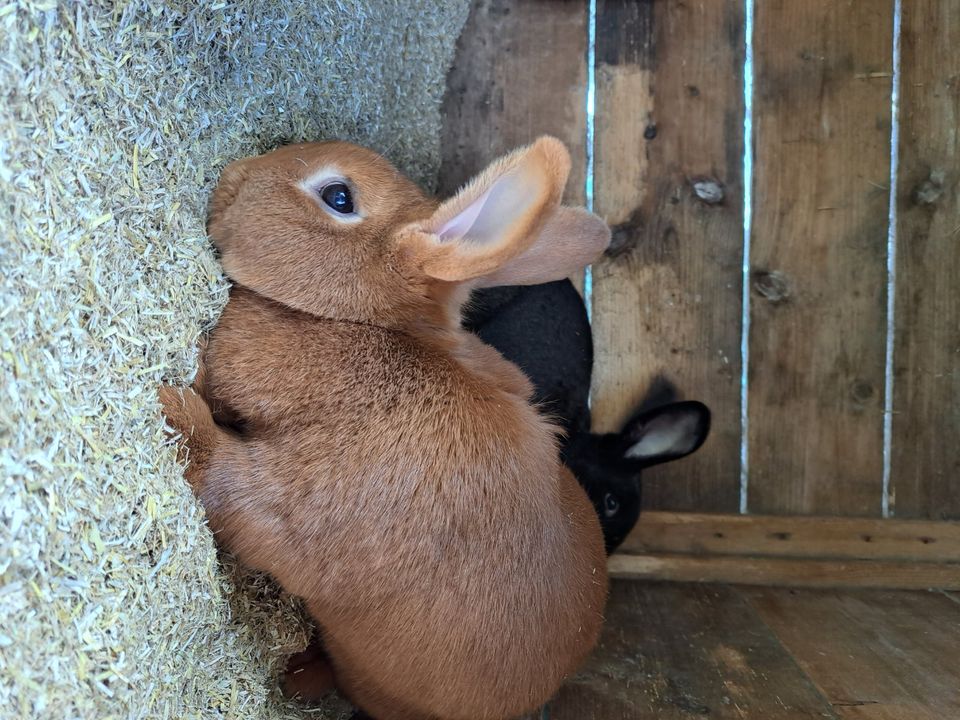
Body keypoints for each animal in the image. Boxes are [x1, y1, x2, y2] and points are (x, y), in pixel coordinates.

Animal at [158, 136, 608, 720]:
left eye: (339, 197)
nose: (234, 176)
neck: (359, 324)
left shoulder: (291, 501)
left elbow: (224, 480)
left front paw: (171, 407)